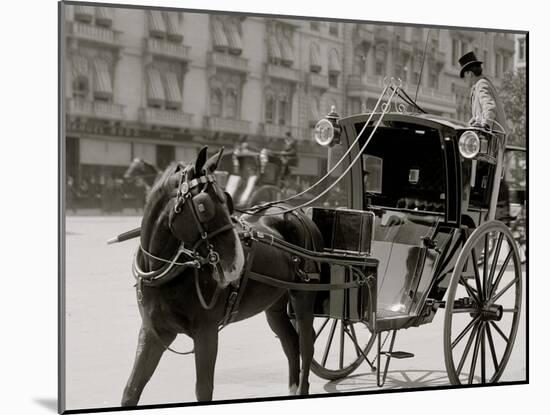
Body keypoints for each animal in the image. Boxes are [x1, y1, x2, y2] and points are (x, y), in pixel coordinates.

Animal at [120, 147, 320, 406]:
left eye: (226, 200)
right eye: (203, 206)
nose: (236, 262)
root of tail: (295, 212)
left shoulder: (206, 332)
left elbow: (203, 390)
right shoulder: (154, 332)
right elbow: (131, 390)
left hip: (303, 296)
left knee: (306, 344)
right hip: (274, 305)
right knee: (291, 343)